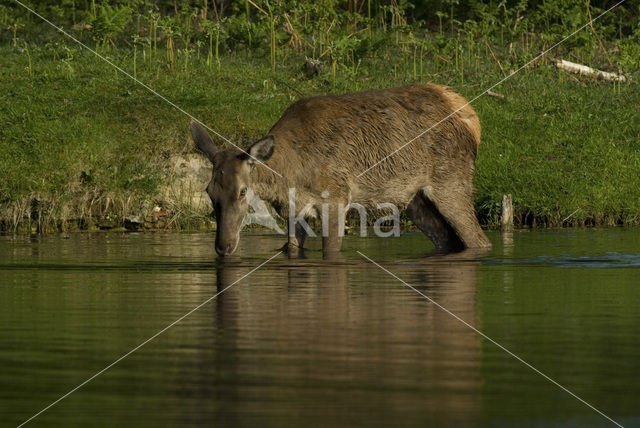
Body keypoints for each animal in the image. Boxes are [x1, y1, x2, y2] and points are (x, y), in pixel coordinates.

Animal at [190, 84, 490, 258]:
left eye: (243, 191)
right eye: (208, 191)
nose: (223, 246)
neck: (291, 177)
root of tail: (472, 117)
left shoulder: (335, 198)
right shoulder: (294, 211)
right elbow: (292, 249)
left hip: (452, 178)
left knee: (478, 239)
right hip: (414, 199)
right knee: (447, 238)